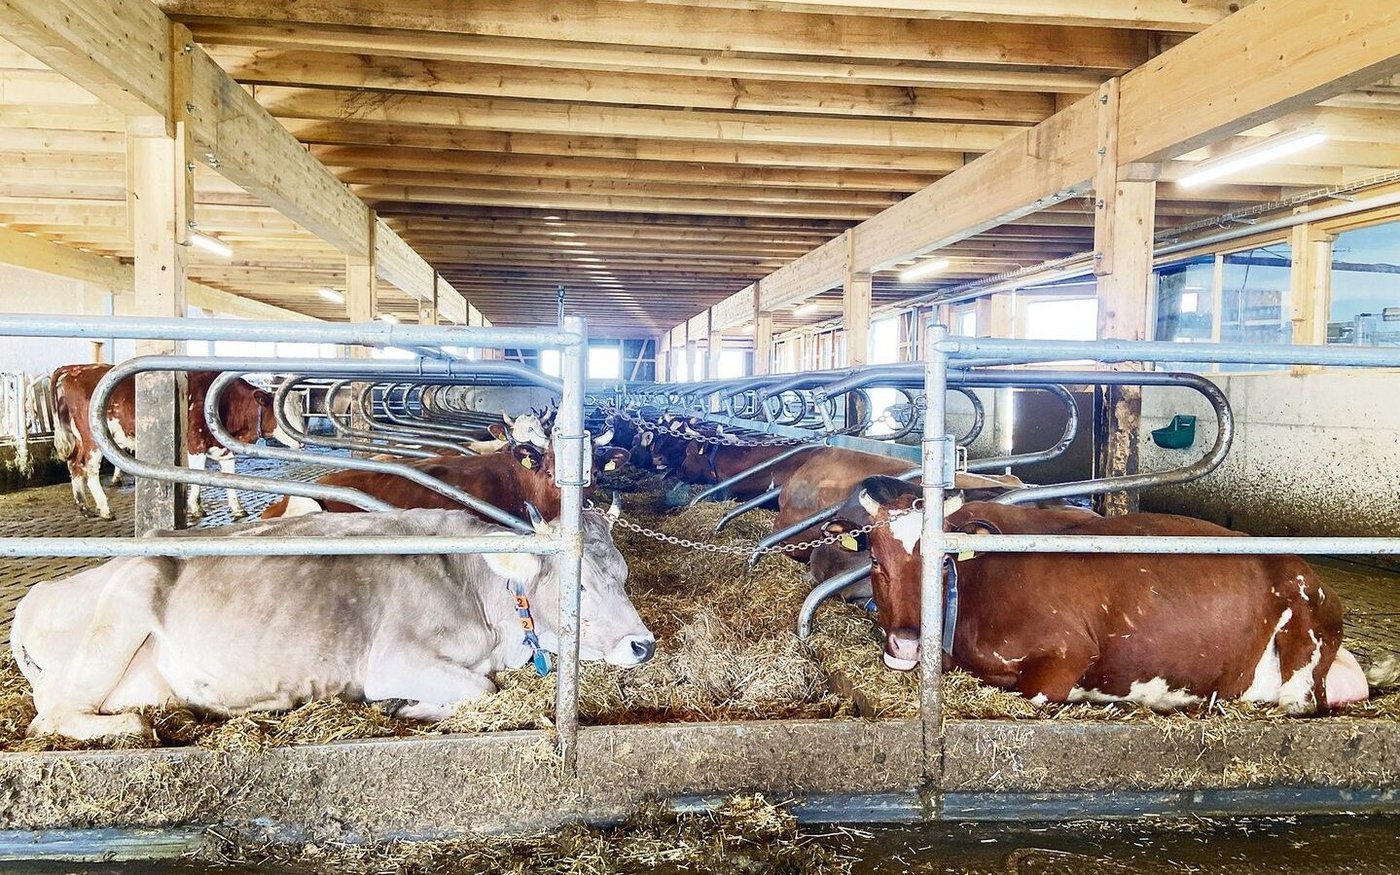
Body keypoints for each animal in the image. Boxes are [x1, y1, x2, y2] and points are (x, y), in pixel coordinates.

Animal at [12, 503, 654, 742]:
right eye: (576, 586)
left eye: (624, 574)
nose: (643, 645)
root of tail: (39, 593)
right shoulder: (395, 658)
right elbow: (483, 689)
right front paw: (407, 707)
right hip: (122, 608)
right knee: (51, 717)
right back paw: (135, 726)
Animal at [51, 364, 304, 521]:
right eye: (280, 414)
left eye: (301, 412)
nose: (302, 443)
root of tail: (75, 369)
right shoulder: (195, 444)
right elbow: (198, 476)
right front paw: (196, 508)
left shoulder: (225, 448)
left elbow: (230, 477)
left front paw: (238, 509)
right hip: (92, 437)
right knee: (89, 467)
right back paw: (104, 508)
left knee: (74, 464)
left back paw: (83, 506)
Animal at [840, 475, 1371, 714]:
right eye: (875, 560)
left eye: (939, 561)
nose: (907, 644)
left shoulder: (1070, 650)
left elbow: (1032, 691)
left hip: (1302, 646)